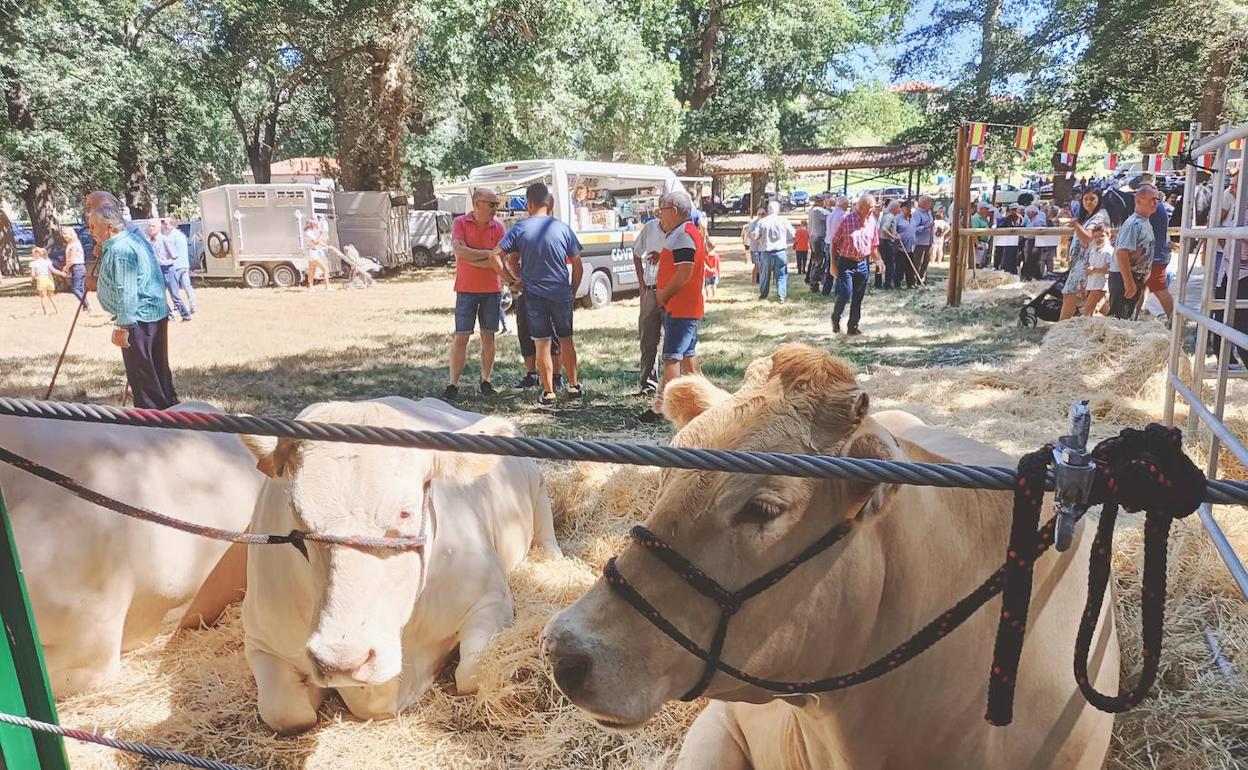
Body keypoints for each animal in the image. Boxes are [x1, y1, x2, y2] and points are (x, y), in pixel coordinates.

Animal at [238, 396, 561, 733]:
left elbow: (471, 673)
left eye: (405, 512)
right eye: (295, 512)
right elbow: (286, 711)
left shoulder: (491, 597)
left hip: (537, 484)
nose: (343, 660)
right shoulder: (260, 638)